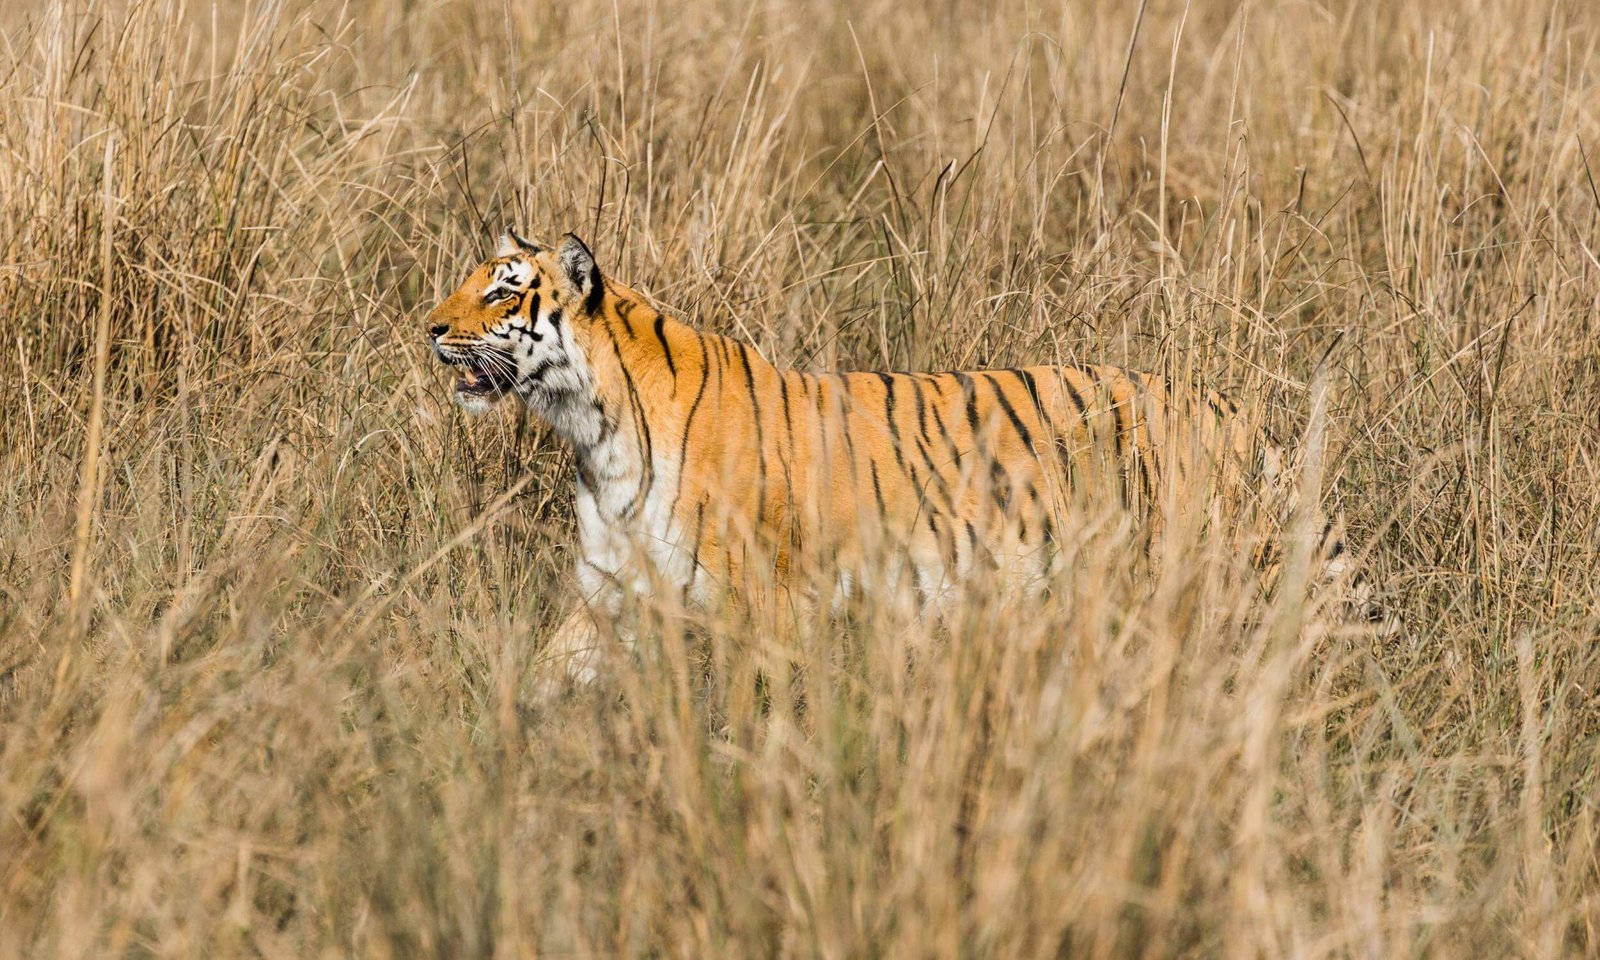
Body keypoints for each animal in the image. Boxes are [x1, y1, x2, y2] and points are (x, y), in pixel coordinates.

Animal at [425, 227, 1388, 691]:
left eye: (502, 290)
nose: (429, 327)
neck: (591, 428)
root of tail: (1240, 415)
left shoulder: (766, 599)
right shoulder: (610, 587)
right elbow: (550, 674)